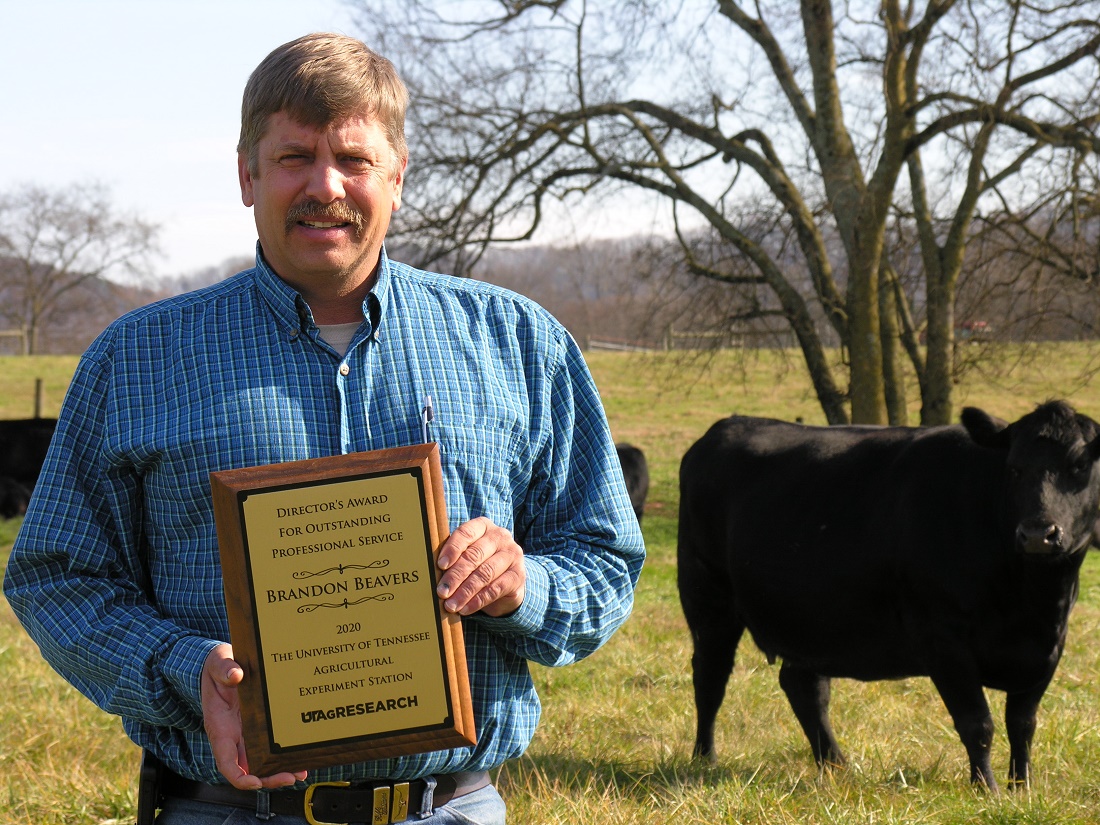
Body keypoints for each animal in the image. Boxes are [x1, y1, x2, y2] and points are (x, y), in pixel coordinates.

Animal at [677, 404, 1100, 792]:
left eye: (1081, 465)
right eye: (1013, 468)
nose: (1038, 533)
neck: (1030, 600)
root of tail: (730, 423)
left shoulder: (1049, 646)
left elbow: (1023, 724)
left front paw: (1021, 788)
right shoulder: (943, 640)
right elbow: (977, 723)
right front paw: (987, 789)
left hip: (811, 619)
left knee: (804, 687)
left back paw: (835, 765)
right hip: (708, 597)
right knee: (710, 678)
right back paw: (704, 759)